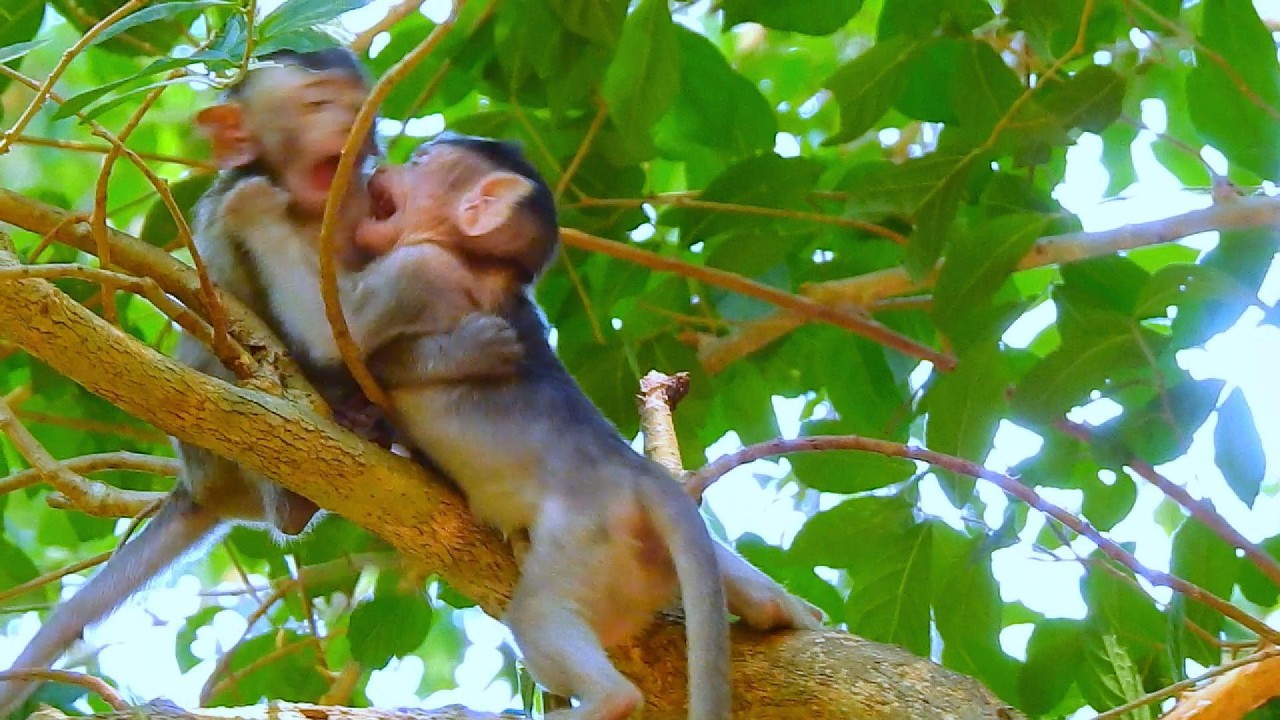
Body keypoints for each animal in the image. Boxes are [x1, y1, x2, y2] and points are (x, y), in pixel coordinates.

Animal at [319, 133, 825, 720]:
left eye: (421, 160)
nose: (383, 164)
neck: (480, 264)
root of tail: (639, 475)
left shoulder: (414, 268)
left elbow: (337, 334)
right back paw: (783, 607)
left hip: (587, 539)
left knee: (542, 619)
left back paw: (604, 698)